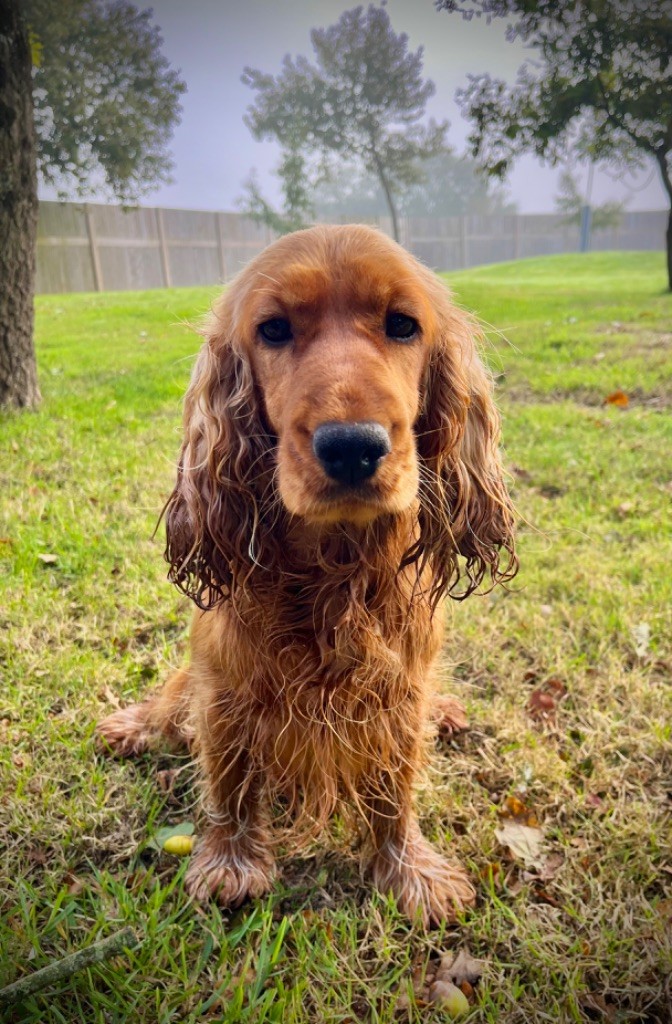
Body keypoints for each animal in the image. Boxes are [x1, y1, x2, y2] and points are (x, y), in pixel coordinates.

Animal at [95, 224, 514, 929]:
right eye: (273, 330)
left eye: (403, 324)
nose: (352, 447)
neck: (333, 570)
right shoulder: (228, 680)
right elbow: (231, 776)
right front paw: (231, 861)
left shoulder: (396, 691)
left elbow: (396, 785)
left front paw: (410, 871)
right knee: (172, 700)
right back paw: (133, 727)